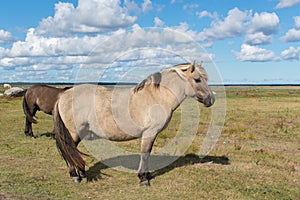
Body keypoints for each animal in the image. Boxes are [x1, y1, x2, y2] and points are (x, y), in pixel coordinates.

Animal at [53, 62, 213, 186]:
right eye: (197, 80)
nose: (211, 99)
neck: (157, 97)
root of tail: (63, 95)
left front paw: (146, 175)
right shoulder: (149, 133)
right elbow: (145, 154)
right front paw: (143, 179)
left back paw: (80, 172)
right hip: (73, 132)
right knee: (67, 149)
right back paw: (75, 176)